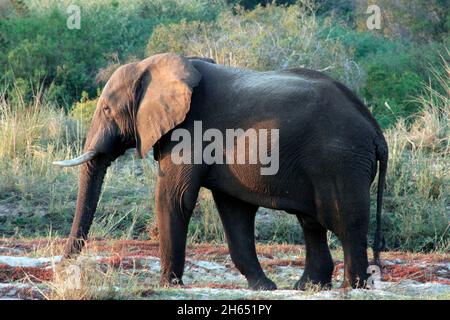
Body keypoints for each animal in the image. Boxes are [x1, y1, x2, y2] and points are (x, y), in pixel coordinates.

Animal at [54, 52, 388, 290]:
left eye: (107, 110)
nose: (60, 267)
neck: (153, 65)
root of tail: (375, 130)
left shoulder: (190, 132)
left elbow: (174, 197)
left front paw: (168, 284)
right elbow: (234, 210)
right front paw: (264, 287)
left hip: (341, 162)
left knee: (345, 222)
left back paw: (350, 287)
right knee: (312, 223)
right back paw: (308, 287)